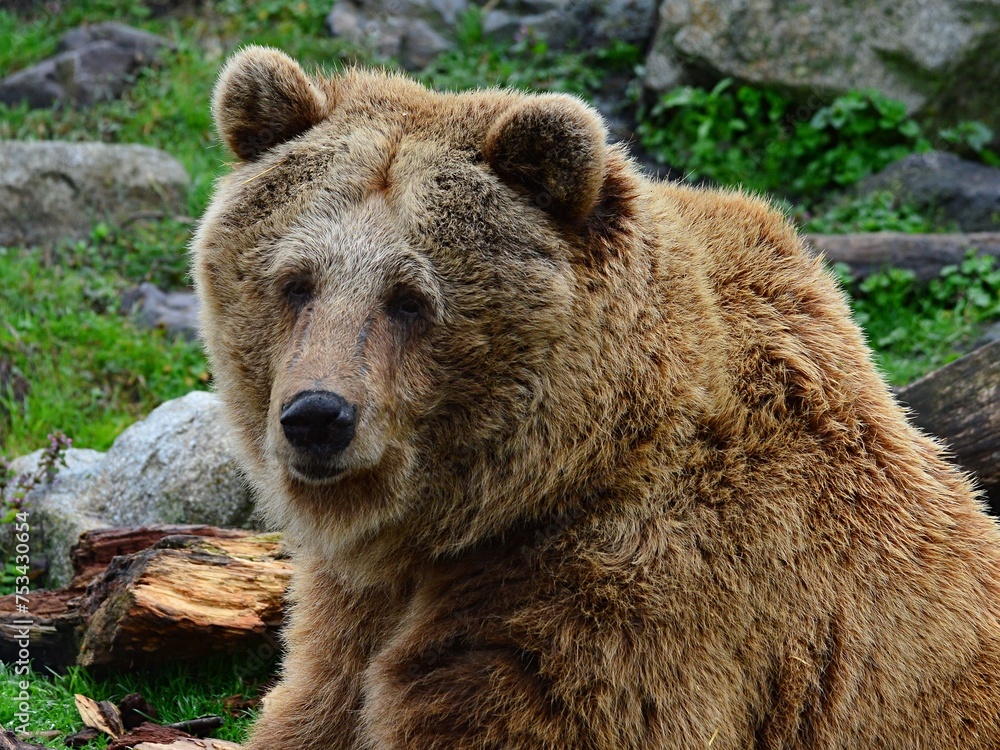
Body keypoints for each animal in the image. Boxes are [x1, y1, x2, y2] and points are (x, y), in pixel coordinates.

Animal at [191, 47, 1000, 750]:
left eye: (410, 298)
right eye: (296, 281)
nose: (317, 417)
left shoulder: (630, 606)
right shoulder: (352, 615)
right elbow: (318, 701)